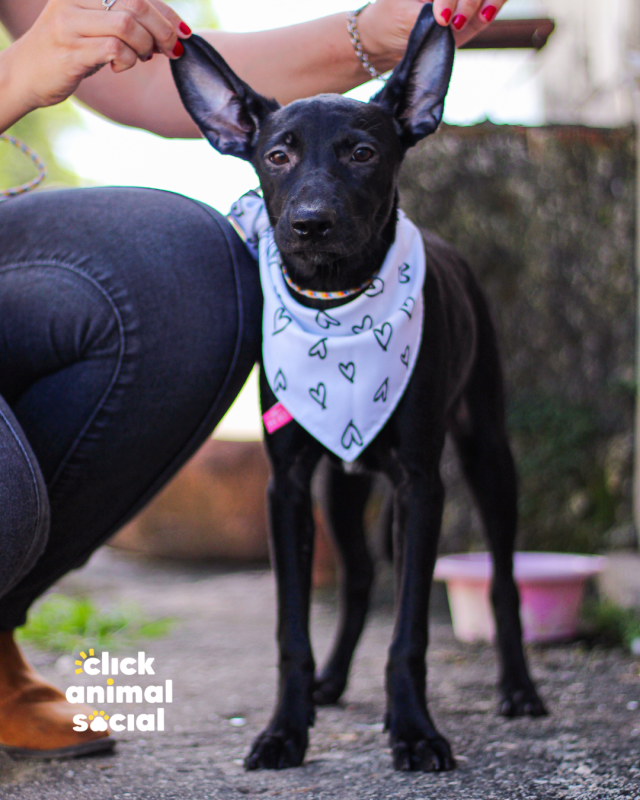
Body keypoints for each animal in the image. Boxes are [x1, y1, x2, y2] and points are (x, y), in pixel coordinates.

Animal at [174, 3, 544, 772]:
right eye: (276, 156)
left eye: (363, 153)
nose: (310, 223)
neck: (336, 305)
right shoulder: (286, 486)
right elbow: (292, 629)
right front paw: (286, 727)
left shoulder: (422, 484)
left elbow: (410, 633)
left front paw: (416, 731)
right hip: (341, 487)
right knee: (360, 578)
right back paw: (333, 682)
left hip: (487, 454)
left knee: (500, 579)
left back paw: (519, 688)